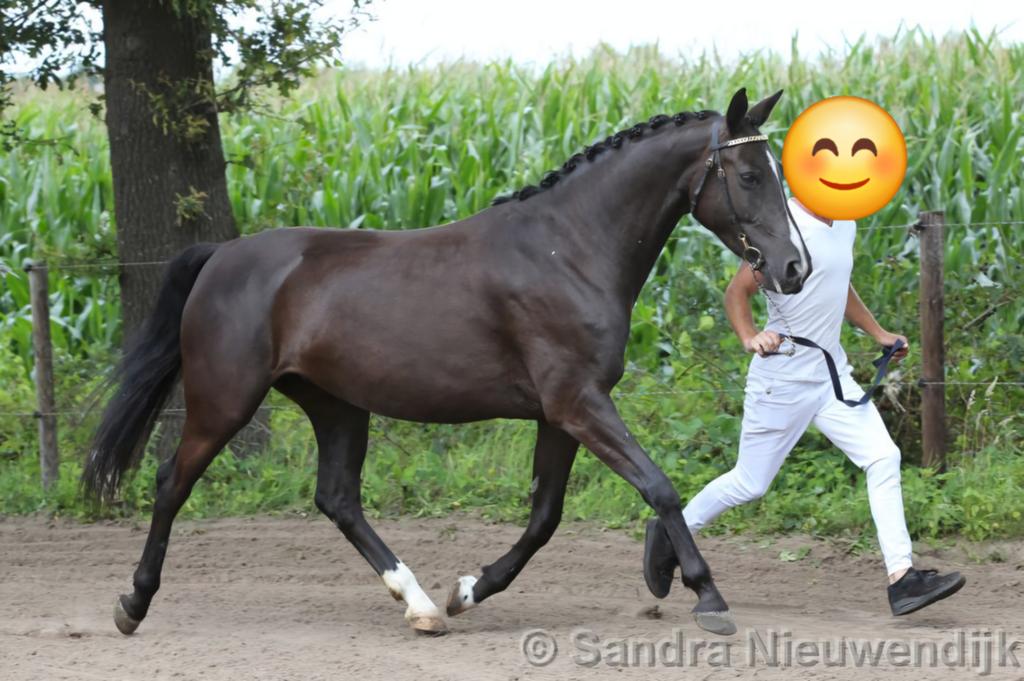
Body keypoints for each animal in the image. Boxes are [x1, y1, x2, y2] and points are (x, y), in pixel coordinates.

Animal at [84, 87, 810, 638]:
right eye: (750, 176)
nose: (793, 268)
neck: (570, 249)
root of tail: (220, 256)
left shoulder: (559, 414)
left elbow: (545, 517)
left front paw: (468, 589)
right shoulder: (579, 402)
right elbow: (657, 486)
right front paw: (708, 596)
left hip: (336, 404)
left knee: (337, 498)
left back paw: (424, 607)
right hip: (224, 400)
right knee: (171, 483)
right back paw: (132, 603)